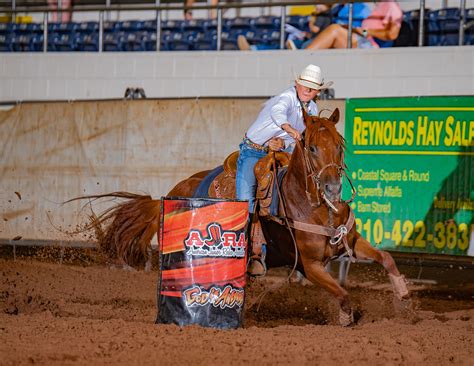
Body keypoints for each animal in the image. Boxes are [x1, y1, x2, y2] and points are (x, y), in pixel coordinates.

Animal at [79, 107, 410, 324]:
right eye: (313, 148)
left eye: (340, 145)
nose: (333, 187)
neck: (314, 206)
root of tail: (171, 190)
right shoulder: (310, 265)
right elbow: (341, 292)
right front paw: (345, 317)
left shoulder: (350, 242)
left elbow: (386, 258)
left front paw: (404, 297)